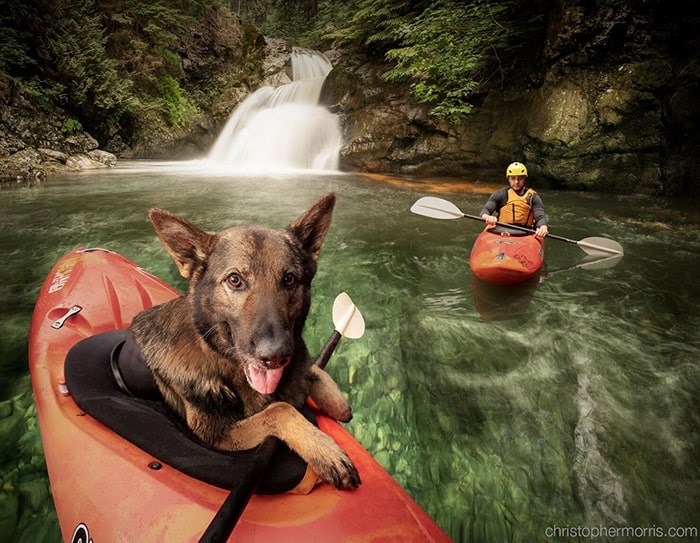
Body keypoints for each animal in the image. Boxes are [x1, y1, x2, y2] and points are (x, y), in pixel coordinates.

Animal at [130, 193, 360, 490]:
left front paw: (336, 402)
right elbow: (279, 409)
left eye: (289, 279)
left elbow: (311, 374)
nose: (275, 357)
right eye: (235, 279)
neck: (218, 357)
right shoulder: (218, 437)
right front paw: (326, 451)